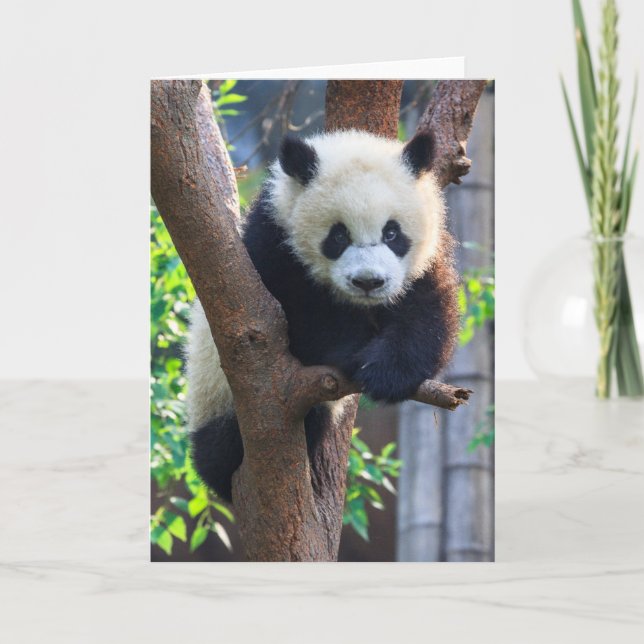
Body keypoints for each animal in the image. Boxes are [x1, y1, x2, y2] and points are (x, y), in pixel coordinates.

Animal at [186, 129, 460, 503]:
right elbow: (299, 318)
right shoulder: (272, 247)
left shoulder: (424, 261)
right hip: (215, 396)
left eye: (392, 233)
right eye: (338, 235)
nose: (368, 282)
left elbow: (426, 313)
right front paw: (354, 354)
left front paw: (387, 373)